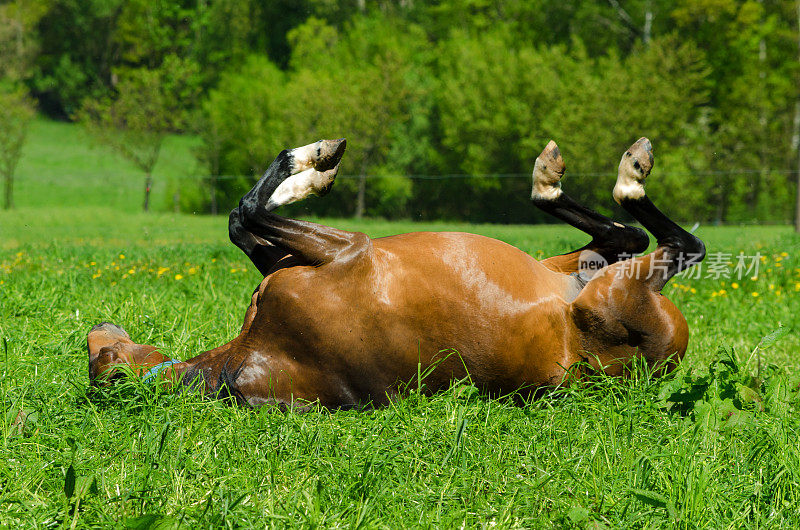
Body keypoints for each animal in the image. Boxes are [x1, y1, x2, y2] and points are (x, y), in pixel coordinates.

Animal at [87, 137, 708, 408]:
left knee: (629, 235)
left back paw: (556, 175)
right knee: (676, 243)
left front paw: (314, 169)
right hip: (610, 293)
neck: (245, 362)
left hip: (585, 269)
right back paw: (621, 173)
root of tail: (668, 357)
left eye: (101, 352)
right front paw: (316, 164)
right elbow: (248, 210)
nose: (98, 328)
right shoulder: (347, 250)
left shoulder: (302, 256)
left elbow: (243, 221)